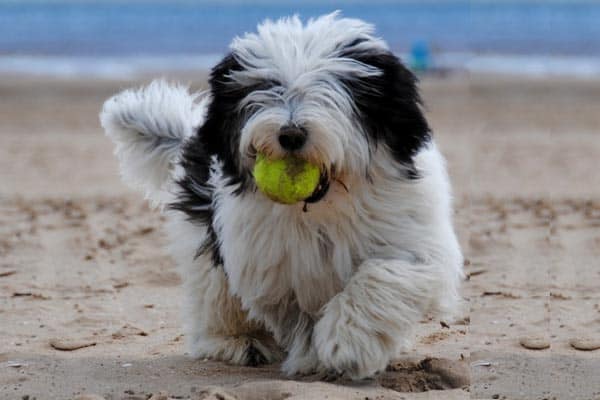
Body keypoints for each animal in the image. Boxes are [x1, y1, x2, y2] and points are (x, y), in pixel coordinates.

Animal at [99, 12, 464, 380]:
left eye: (333, 91)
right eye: (265, 89)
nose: (290, 134)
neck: (324, 208)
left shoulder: (415, 240)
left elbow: (383, 275)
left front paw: (348, 342)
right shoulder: (274, 268)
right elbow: (297, 314)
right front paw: (315, 356)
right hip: (209, 243)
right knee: (216, 295)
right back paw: (237, 341)